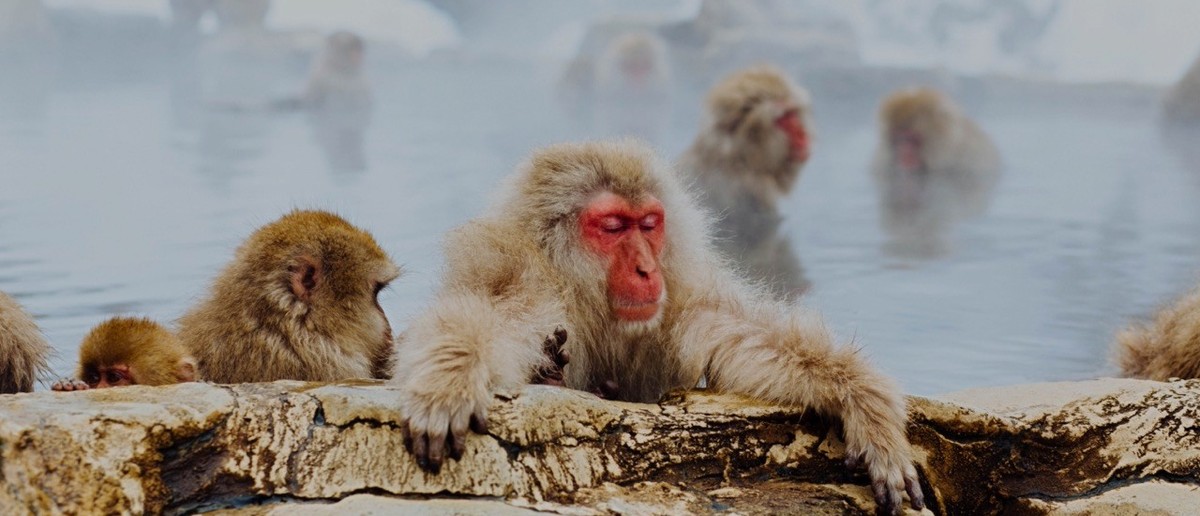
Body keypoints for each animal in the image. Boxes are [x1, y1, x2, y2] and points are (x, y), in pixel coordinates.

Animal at [391, 140, 923, 514]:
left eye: (648, 224)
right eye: (612, 227)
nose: (647, 270)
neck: (583, 294)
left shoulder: (679, 296)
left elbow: (740, 338)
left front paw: (864, 402)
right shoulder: (519, 275)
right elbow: (486, 316)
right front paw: (449, 379)